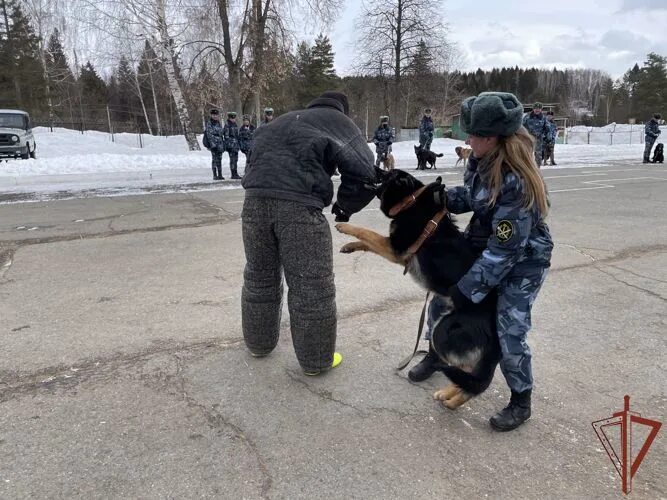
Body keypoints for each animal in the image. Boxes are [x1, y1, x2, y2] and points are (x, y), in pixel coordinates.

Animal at [340, 169, 500, 410]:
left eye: (386, 174)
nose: (374, 168)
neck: (410, 201)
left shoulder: (395, 249)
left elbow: (366, 232)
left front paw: (344, 227)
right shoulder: (393, 249)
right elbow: (367, 242)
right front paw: (349, 246)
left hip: (442, 331)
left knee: (468, 376)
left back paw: (451, 398)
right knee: (471, 380)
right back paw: (450, 396)